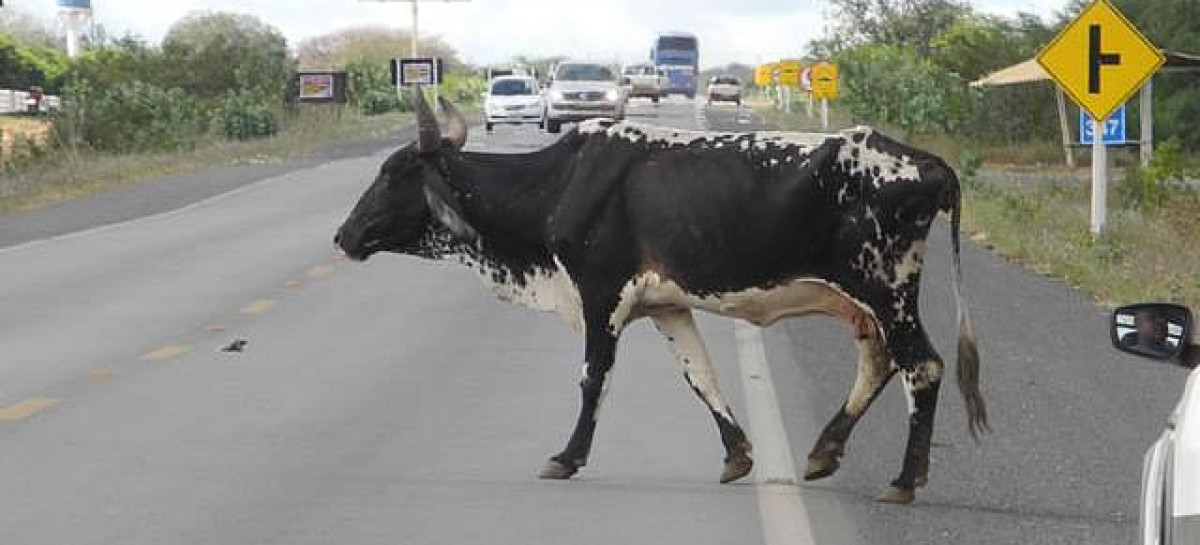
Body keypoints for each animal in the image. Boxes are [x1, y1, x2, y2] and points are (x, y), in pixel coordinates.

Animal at [336, 87, 984, 504]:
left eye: (392, 175)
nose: (343, 236)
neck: (558, 185)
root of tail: (929, 164)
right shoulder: (667, 304)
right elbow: (699, 374)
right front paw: (736, 454)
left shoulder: (601, 293)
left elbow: (593, 378)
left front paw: (567, 457)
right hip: (869, 304)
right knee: (880, 363)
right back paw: (825, 450)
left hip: (887, 291)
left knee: (922, 367)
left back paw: (904, 481)